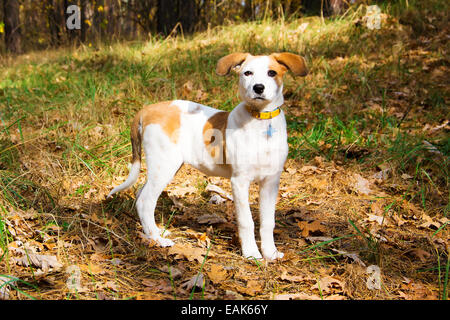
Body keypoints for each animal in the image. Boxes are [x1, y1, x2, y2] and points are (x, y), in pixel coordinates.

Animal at [107, 51, 308, 258]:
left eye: (271, 73)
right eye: (247, 73)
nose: (258, 88)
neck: (260, 121)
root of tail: (146, 110)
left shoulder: (270, 181)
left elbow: (268, 222)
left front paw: (270, 253)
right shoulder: (240, 181)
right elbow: (246, 221)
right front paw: (252, 253)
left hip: (165, 166)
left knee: (141, 194)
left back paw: (153, 232)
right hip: (165, 165)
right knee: (145, 200)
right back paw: (157, 240)